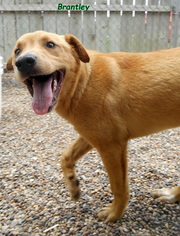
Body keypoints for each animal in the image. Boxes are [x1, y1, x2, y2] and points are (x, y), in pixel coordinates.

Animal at [6, 30, 179, 221]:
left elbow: (119, 187)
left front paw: (115, 213)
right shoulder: (92, 135)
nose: (23, 62)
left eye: (50, 44)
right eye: (17, 51)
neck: (84, 81)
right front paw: (73, 185)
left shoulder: (111, 146)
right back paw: (172, 195)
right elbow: (66, 157)